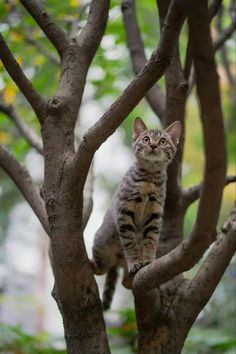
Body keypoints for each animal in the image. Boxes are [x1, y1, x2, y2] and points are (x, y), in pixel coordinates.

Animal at [91, 117, 182, 310]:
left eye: (163, 141)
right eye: (146, 139)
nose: (153, 145)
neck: (149, 179)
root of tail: (117, 263)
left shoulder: (155, 215)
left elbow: (150, 241)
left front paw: (147, 260)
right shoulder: (125, 211)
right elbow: (130, 242)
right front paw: (135, 261)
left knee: (124, 282)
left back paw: (129, 279)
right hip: (101, 241)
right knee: (101, 269)